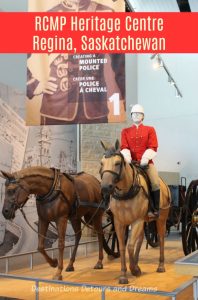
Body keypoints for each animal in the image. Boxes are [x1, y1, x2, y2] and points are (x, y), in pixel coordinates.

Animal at [100, 141, 171, 284]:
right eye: (101, 163)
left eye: (117, 163)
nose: (105, 187)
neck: (126, 192)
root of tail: (164, 184)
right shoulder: (119, 223)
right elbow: (123, 247)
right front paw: (124, 274)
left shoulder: (137, 221)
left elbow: (130, 246)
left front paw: (135, 270)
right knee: (140, 239)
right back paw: (137, 263)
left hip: (161, 219)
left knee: (161, 238)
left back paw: (160, 265)